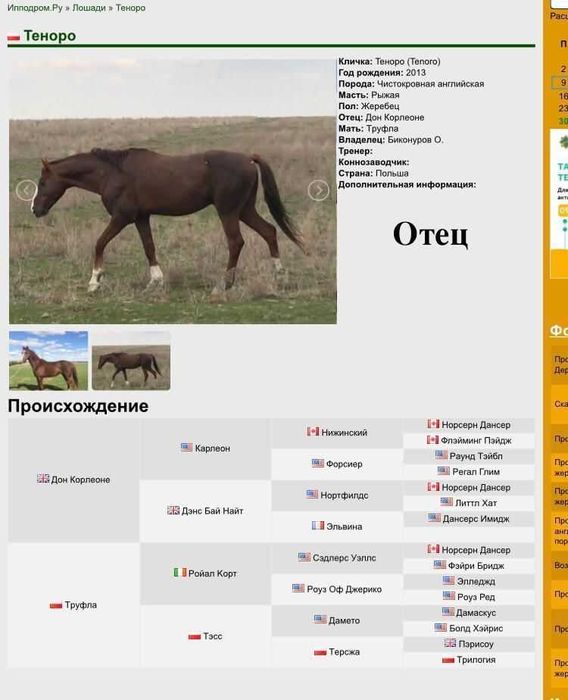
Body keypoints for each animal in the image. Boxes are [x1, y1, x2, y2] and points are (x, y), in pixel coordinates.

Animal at [31, 147, 306, 295]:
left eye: (43, 183)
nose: (35, 209)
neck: (112, 173)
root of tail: (249, 158)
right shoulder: (141, 218)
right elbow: (149, 247)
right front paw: (156, 280)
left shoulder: (121, 217)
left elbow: (99, 243)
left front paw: (94, 282)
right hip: (244, 210)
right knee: (269, 231)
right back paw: (280, 276)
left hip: (228, 211)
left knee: (236, 242)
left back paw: (224, 285)